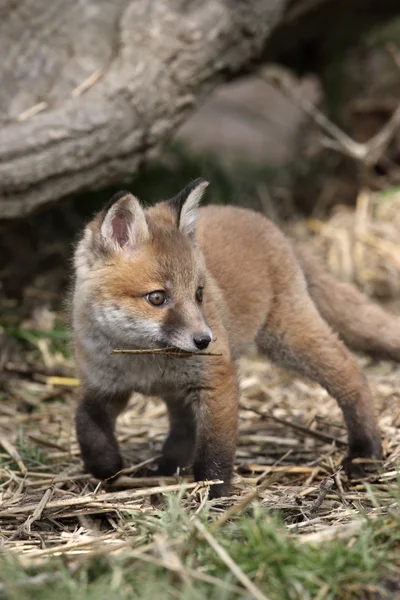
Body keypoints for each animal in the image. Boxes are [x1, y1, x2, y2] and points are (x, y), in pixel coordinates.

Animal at [70, 177, 398, 496]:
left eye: (199, 294)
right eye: (157, 298)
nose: (205, 341)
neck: (144, 362)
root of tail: (266, 222)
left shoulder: (217, 378)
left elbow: (215, 451)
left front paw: (215, 495)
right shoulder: (104, 386)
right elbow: (86, 424)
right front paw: (107, 467)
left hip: (289, 339)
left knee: (353, 376)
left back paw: (365, 452)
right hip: (187, 386)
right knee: (183, 426)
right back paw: (167, 466)